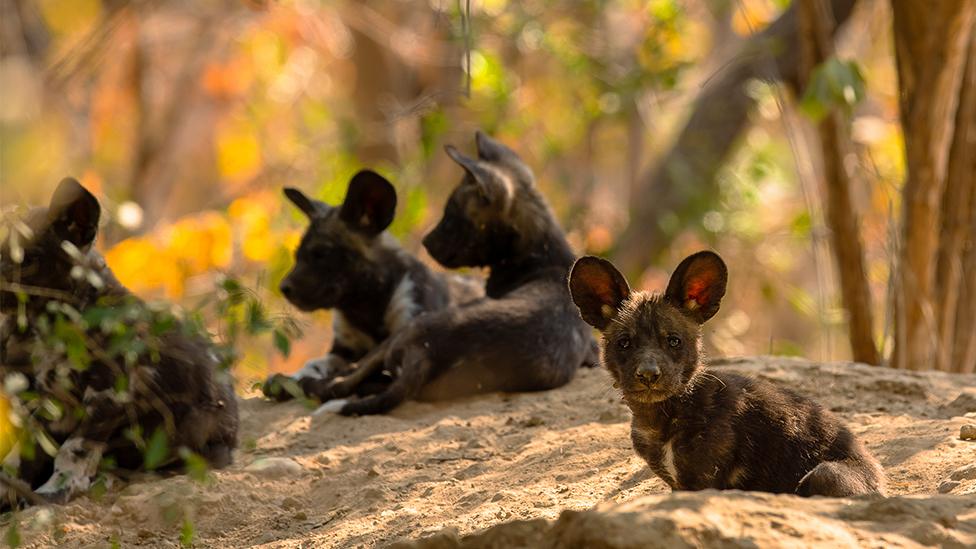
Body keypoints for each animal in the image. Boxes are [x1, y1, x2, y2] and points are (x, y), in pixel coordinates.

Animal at [1, 179, 238, 506]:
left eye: (29, 259)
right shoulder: (41, 401)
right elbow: (25, 456)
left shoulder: (106, 394)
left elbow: (74, 450)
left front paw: (57, 490)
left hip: (196, 425)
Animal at [260, 169, 480, 400]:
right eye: (297, 256)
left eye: (322, 253)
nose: (284, 288)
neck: (364, 308)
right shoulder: (342, 351)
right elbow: (315, 363)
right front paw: (292, 379)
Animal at [316, 132, 600, 416]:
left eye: (451, 217)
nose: (426, 242)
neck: (542, 256)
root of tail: (425, 352)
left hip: (411, 327)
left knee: (347, 380)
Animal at [568, 253, 888, 496]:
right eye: (624, 343)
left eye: (674, 340)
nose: (649, 375)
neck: (662, 418)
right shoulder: (678, 485)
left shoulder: (702, 483)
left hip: (825, 474)